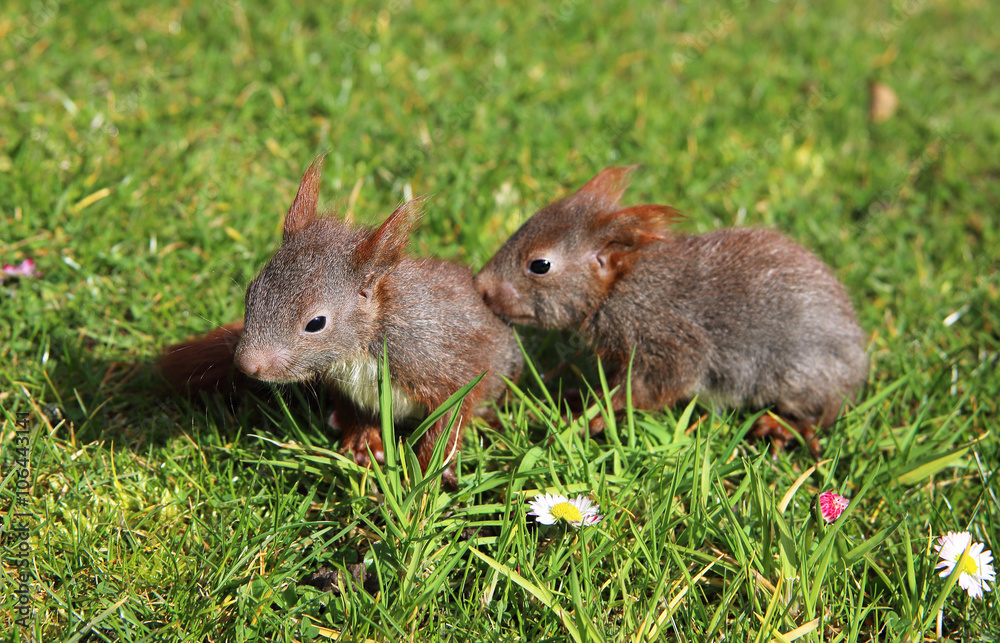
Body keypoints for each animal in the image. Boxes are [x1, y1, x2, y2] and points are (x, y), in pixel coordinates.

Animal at [160, 156, 523, 485]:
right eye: (251, 292)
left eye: (316, 323)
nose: (248, 364)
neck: (362, 348)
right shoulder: (348, 388)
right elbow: (359, 415)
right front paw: (362, 448)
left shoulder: (439, 361)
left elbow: (451, 416)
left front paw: (425, 472)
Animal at [473, 166, 869, 452]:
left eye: (540, 265)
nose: (480, 285)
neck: (619, 289)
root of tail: (857, 368)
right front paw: (578, 395)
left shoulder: (669, 340)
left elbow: (655, 386)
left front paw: (595, 416)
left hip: (800, 374)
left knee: (827, 413)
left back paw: (785, 426)